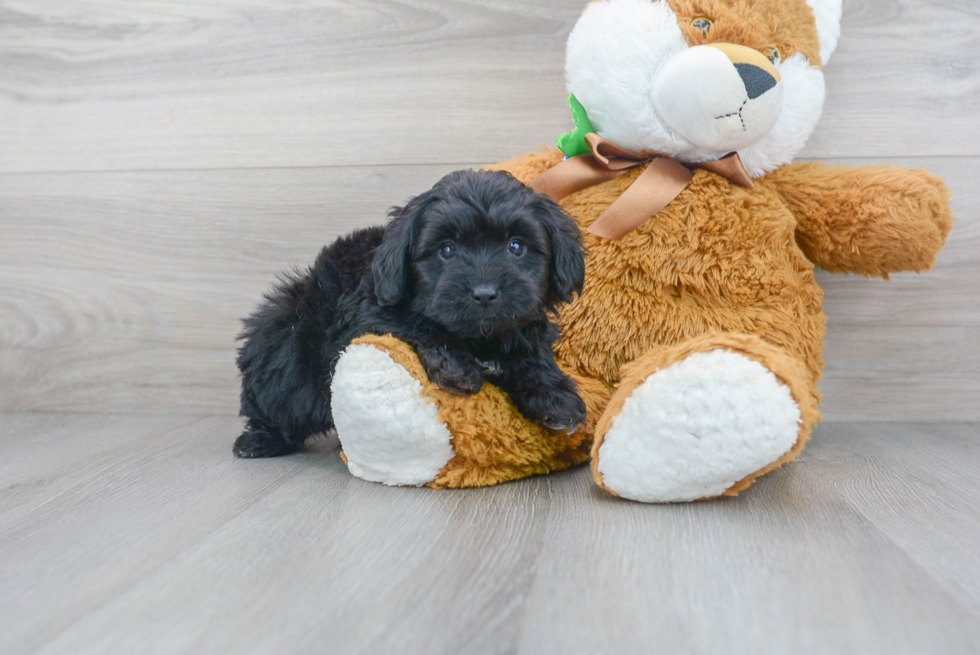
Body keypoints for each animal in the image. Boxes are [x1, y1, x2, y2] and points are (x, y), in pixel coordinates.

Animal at [235, 168, 588, 456]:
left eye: (516, 246)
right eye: (447, 249)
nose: (485, 293)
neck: (479, 338)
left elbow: (531, 348)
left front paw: (553, 394)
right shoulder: (369, 310)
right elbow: (416, 323)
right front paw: (455, 364)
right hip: (283, 348)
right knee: (276, 401)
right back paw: (260, 440)